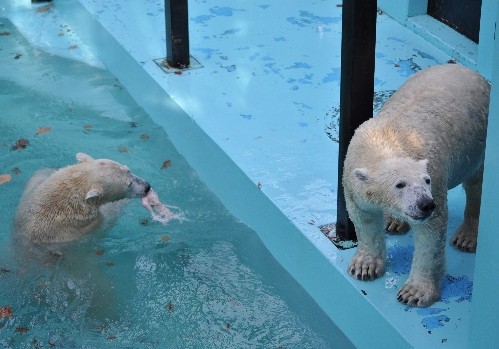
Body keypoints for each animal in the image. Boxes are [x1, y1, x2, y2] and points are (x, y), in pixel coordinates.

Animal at [344, 64, 488, 306]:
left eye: (426, 180)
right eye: (399, 185)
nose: (426, 204)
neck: (389, 141)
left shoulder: (436, 179)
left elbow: (431, 236)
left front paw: (415, 292)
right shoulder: (353, 181)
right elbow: (365, 220)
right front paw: (365, 266)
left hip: (478, 144)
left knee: (476, 184)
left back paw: (467, 236)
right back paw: (394, 222)